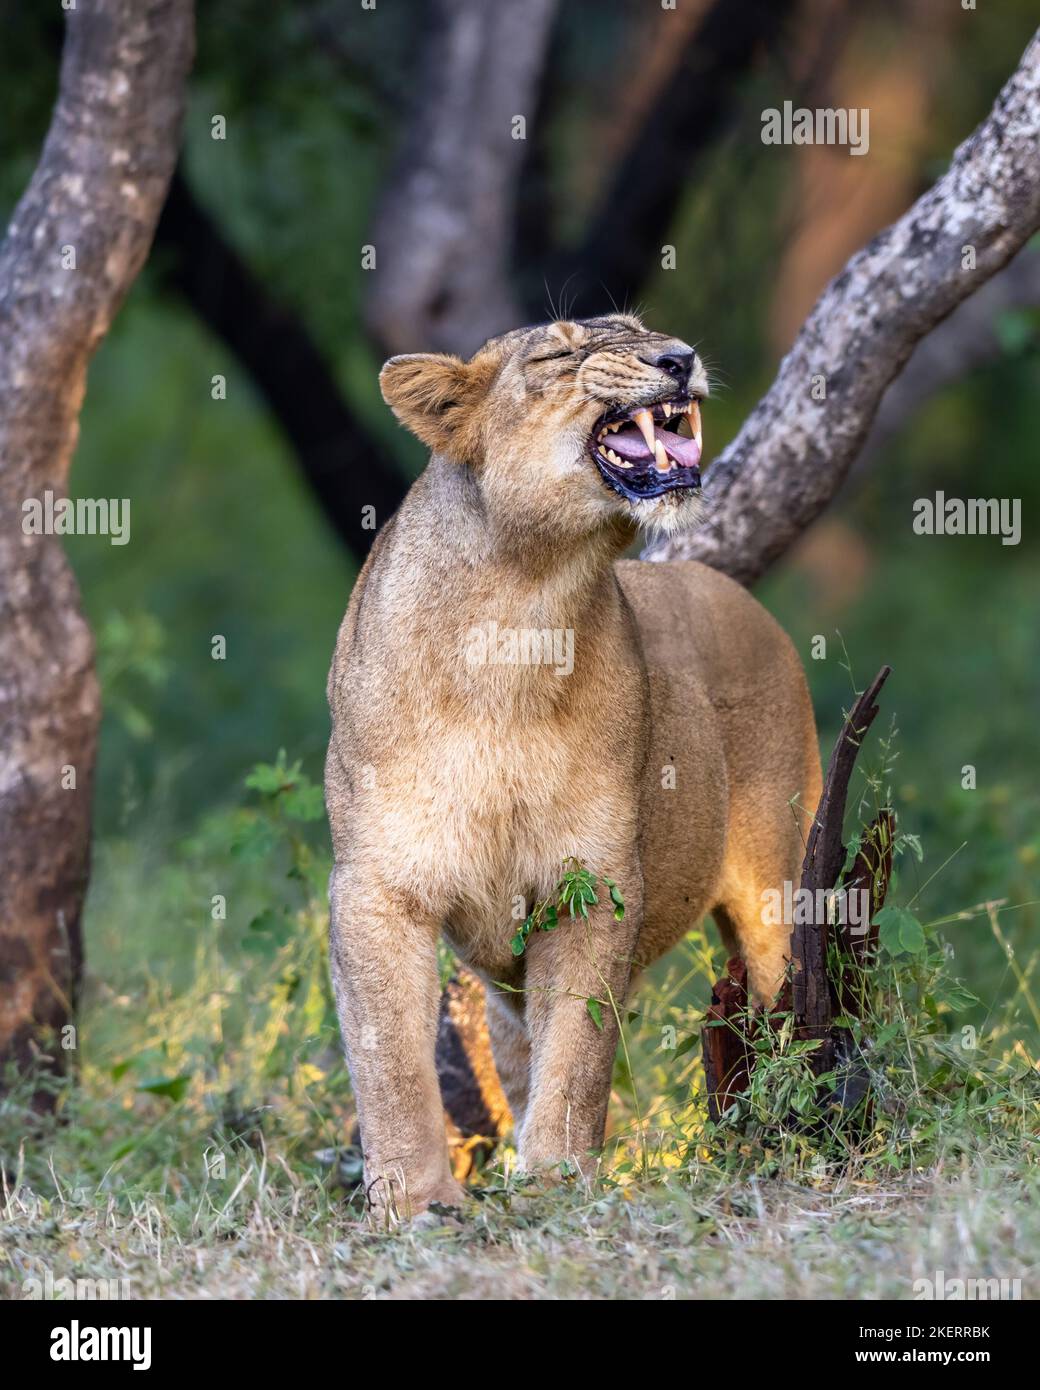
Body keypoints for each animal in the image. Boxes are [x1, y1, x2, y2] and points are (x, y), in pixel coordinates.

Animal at [325, 314, 821, 1220]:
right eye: (558, 354)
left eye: (647, 331)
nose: (679, 359)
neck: (524, 603)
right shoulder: (377, 885)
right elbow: (389, 1058)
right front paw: (413, 1202)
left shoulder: (593, 880)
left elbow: (580, 1051)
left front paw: (557, 1177)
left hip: (781, 883)